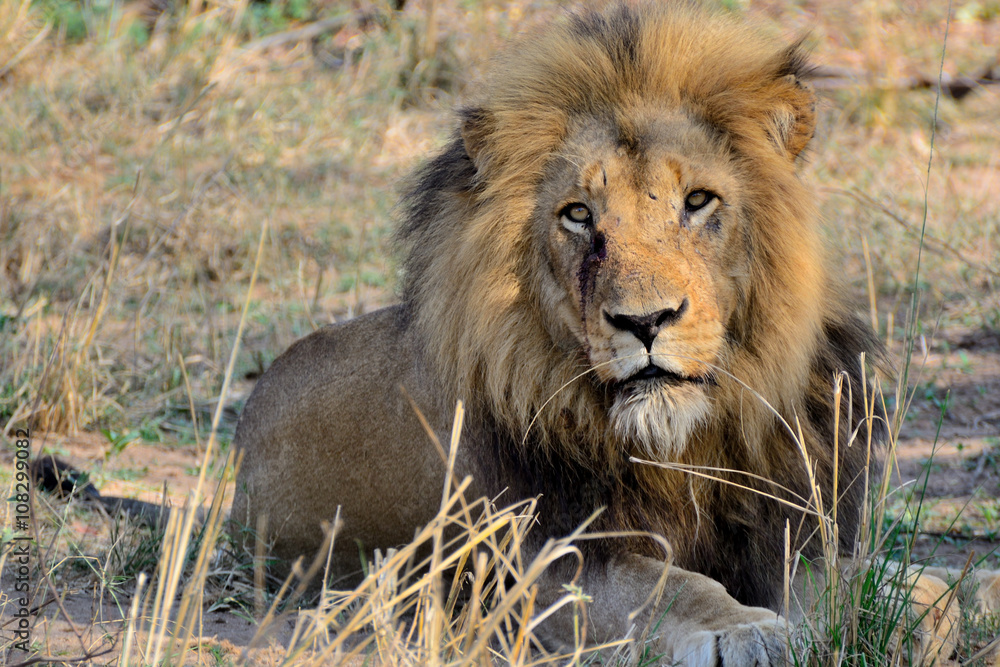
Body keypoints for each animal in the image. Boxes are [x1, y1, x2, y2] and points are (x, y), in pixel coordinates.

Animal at [230, 2, 888, 664]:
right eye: (578, 214)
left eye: (698, 201)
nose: (644, 322)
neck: (683, 448)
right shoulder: (541, 563)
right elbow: (671, 585)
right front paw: (745, 629)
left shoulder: (797, 528)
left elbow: (869, 579)